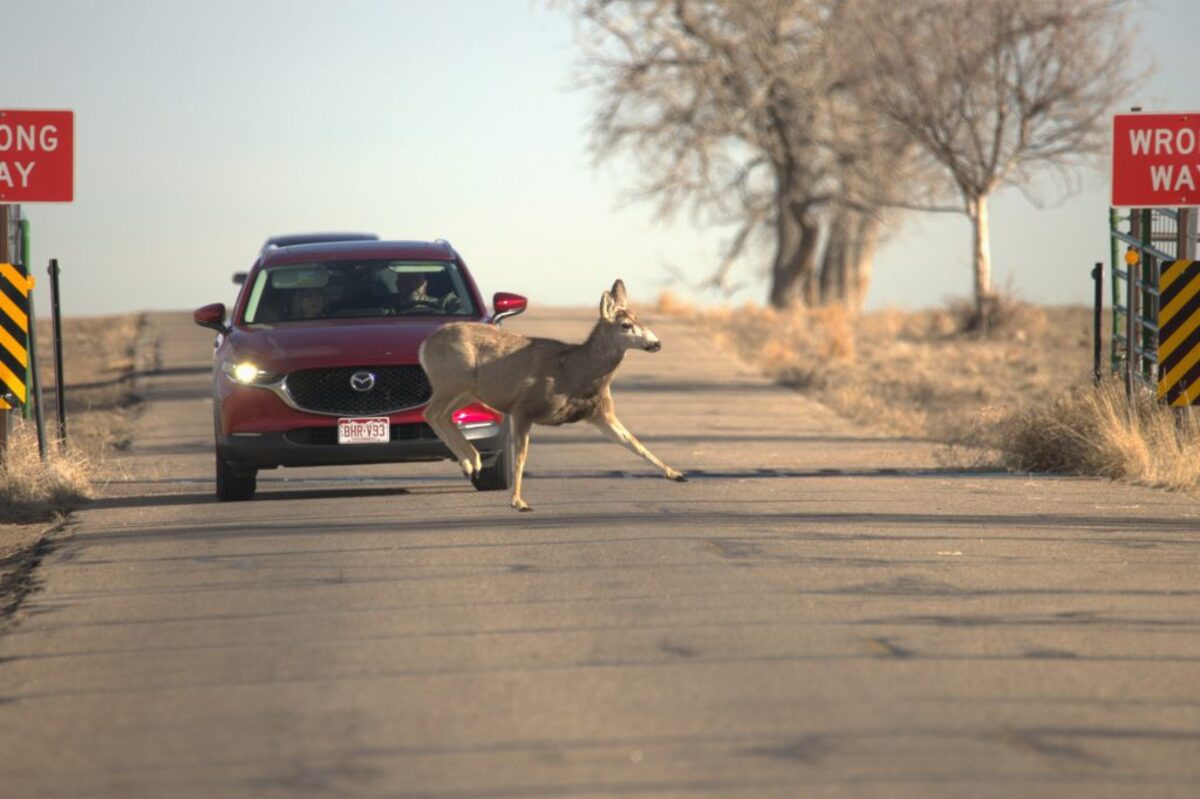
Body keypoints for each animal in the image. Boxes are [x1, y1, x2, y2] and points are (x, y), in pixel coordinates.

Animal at [419, 279, 687, 511]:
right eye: (626, 325)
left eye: (639, 319)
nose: (656, 343)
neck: (574, 370)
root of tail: (425, 345)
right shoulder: (524, 408)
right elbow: (521, 457)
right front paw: (518, 502)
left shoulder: (600, 412)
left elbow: (634, 442)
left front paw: (676, 474)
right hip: (452, 382)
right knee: (430, 413)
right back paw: (471, 462)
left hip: (467, 392)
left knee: (441, 416)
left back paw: (472, 463)